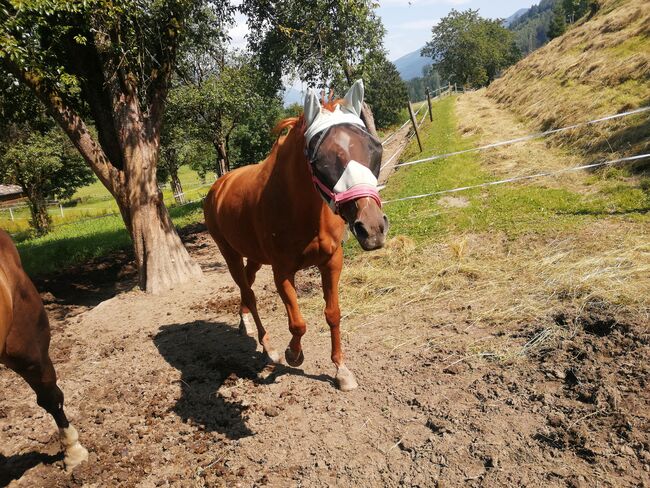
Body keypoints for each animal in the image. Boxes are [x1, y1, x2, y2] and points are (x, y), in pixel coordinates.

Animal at [204, 81, 384, 392]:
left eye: (374, 149)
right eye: (319, 160)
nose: (372, 228)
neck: (301, 209)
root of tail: (219, 186)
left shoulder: (332, 262)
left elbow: (333, 314)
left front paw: (341, 370)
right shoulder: (282, 273)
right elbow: (298, 323)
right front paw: (292, 354)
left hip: (254, 257)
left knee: (247, 286)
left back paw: (244, 323)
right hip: (230, 254)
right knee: (249, 293)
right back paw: (268, 347)